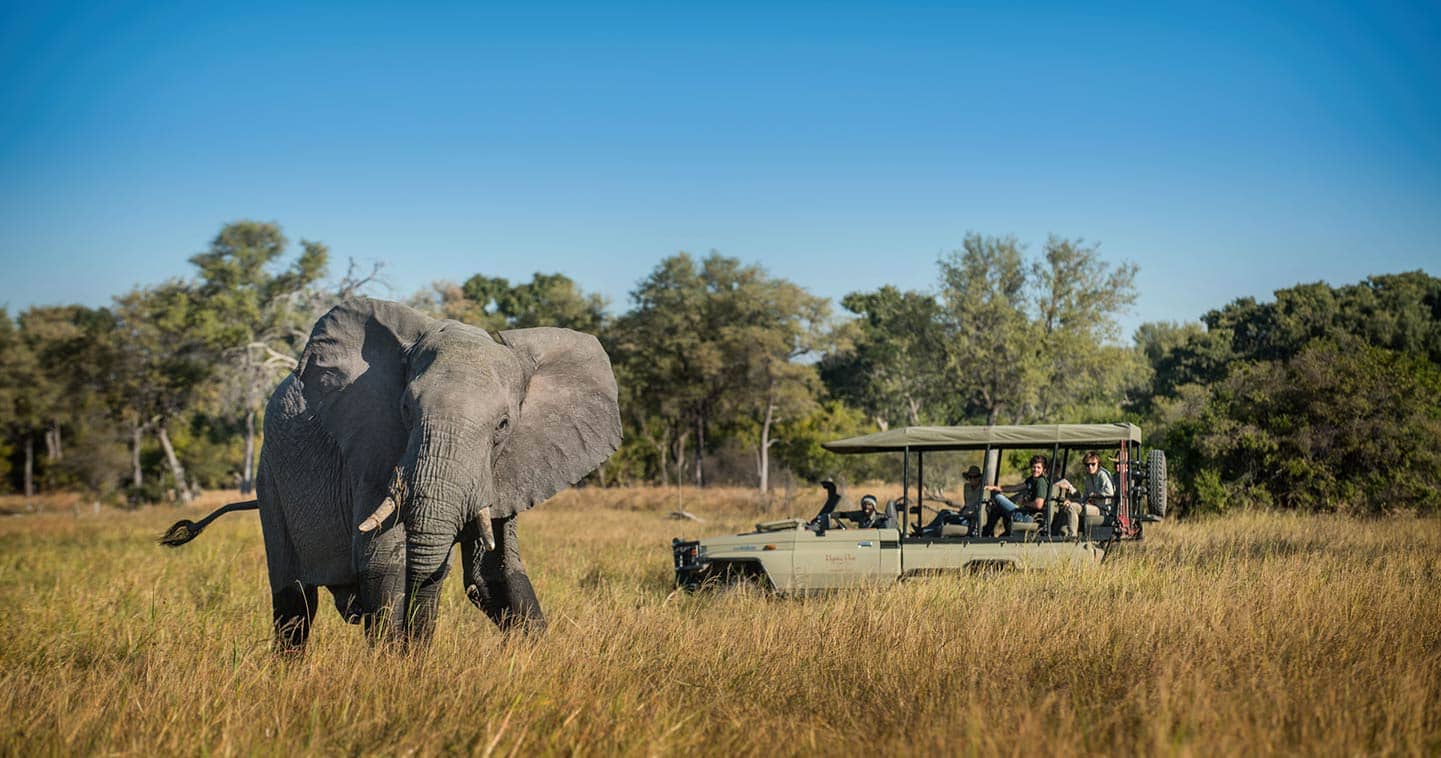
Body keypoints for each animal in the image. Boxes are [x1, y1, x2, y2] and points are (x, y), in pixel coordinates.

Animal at [162, 298, 619, 654]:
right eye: (405, 411)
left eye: (503, 426)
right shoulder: (371, 452)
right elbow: (384, 562)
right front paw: (393, 668)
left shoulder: (509, 468)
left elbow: (496, 573)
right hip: (270, 475)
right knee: (295, 603)